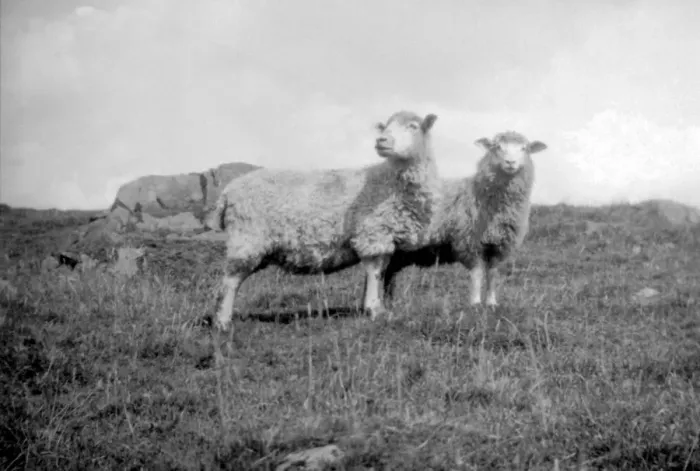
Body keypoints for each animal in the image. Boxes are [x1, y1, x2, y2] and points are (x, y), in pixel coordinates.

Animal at [206, 110, 441, 332]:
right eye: (386, 127)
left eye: (413, 126)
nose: (381, 140)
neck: (390, 181)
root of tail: (227, 192)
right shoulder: (374, 234)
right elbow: (375, 272)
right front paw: (375, 310)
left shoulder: (382, 238)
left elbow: (379, 274)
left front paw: (369, 307)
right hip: (247, 238)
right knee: (229, 282)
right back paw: (222, 323)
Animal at [380, 130, 548, 307]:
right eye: (497, 147)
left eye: (524, 148)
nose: (510, 162)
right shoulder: (470, 242)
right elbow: (477, 274)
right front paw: (475, 303)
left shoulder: (498, 246)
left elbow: (492, 274)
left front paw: (491, 303)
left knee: (389, 274)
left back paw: (388, 302)